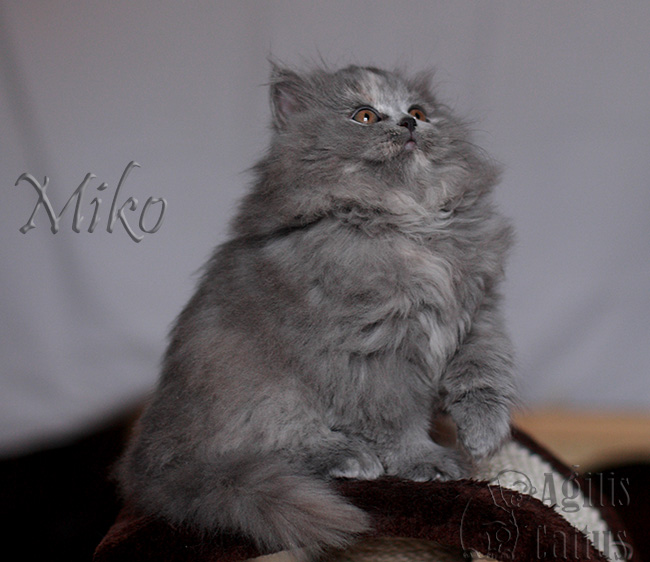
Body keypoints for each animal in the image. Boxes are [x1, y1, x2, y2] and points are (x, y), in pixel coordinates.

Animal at [117, 63, 517, 558]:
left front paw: (483, 437)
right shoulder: (372, 354)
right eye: (364, 116)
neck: (412, 224)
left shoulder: (476, 314)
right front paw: (426, 461)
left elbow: (484, 375)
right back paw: (349, 456)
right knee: (269, 448)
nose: (408, 123)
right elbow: (397, 419)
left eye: (421, 111)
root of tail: (150, 472)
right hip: (264, 393)